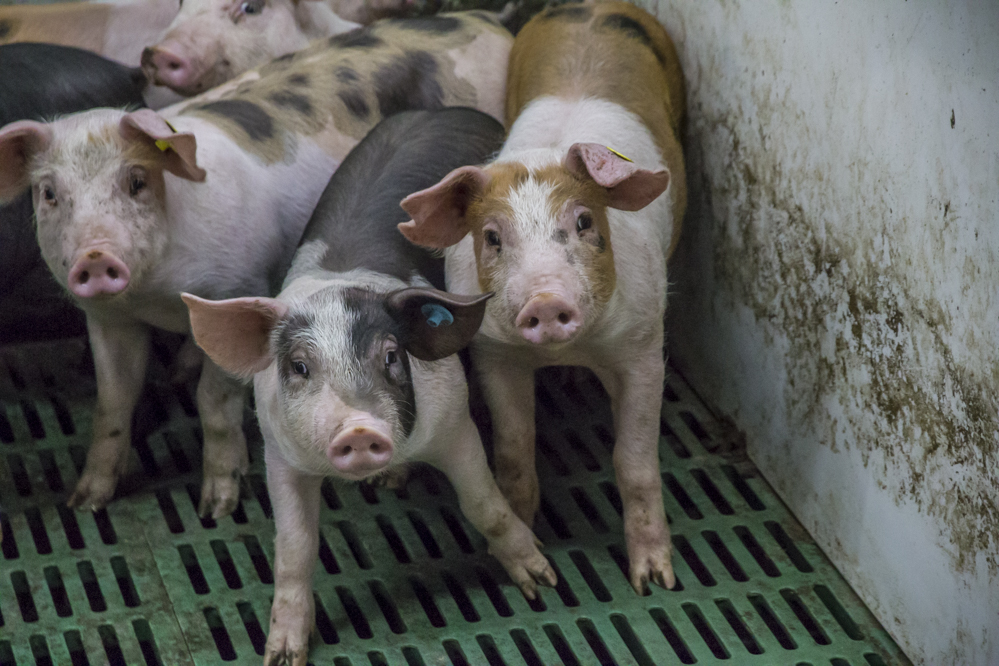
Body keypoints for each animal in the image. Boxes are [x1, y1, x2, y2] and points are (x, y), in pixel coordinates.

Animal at [180, 107, 556, 664]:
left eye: (392, 357)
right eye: (299, 366)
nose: (358, 429)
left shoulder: (454, 421)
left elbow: (483, 504)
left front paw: (541, 580)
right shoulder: (279, 454)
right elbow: (294, 549)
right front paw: (282, 655)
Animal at [398, 0, 688, 592]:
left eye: (583, 222)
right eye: (492, 237)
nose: (546, 301)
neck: (564, 351)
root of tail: (597, 8)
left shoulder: (644, 347)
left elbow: (635, 464)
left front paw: (653, 581)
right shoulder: (495, 354)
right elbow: (513, 454)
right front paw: (535, 563)